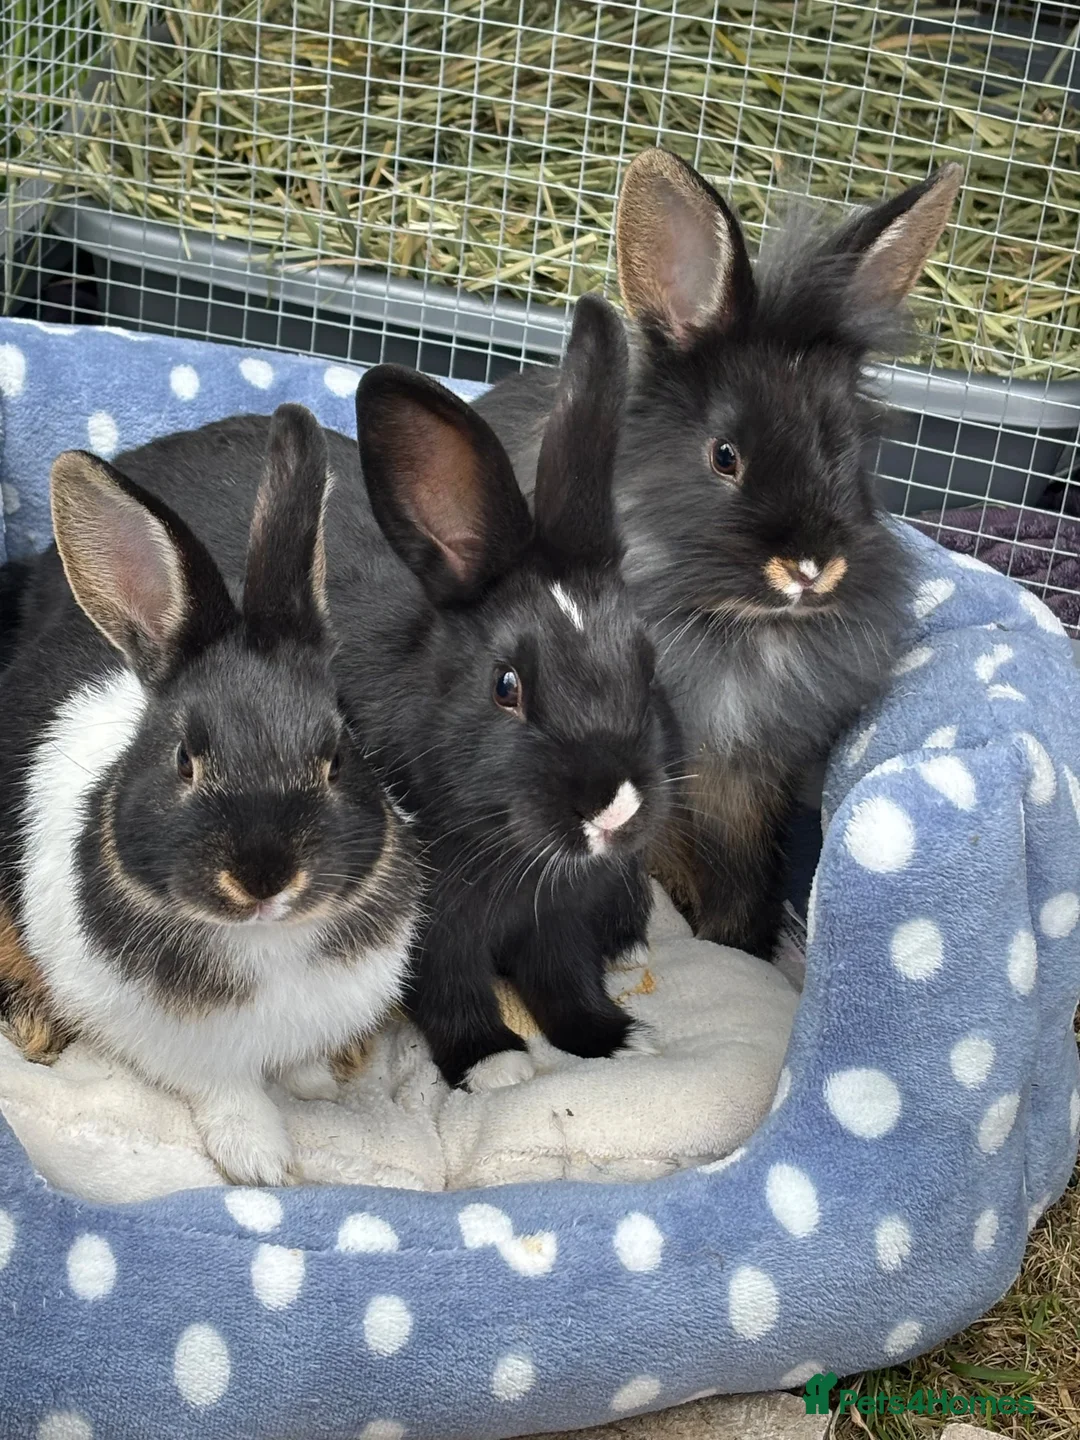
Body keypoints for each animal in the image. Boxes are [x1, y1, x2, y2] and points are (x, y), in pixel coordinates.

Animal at [0, 403, 420, 1186]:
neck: (267, 941)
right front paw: (262, 1163)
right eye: (184, 760)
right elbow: (226, 1092)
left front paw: (316, 1081)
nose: (263, 877)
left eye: (336, 755)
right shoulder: (175, 1047)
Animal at [475, 148, 963, 957]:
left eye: (845, 449)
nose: (810, 568)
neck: (736, 630)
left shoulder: (753, 777)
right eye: (724, 455)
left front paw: (737, 939)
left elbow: (743, 859)